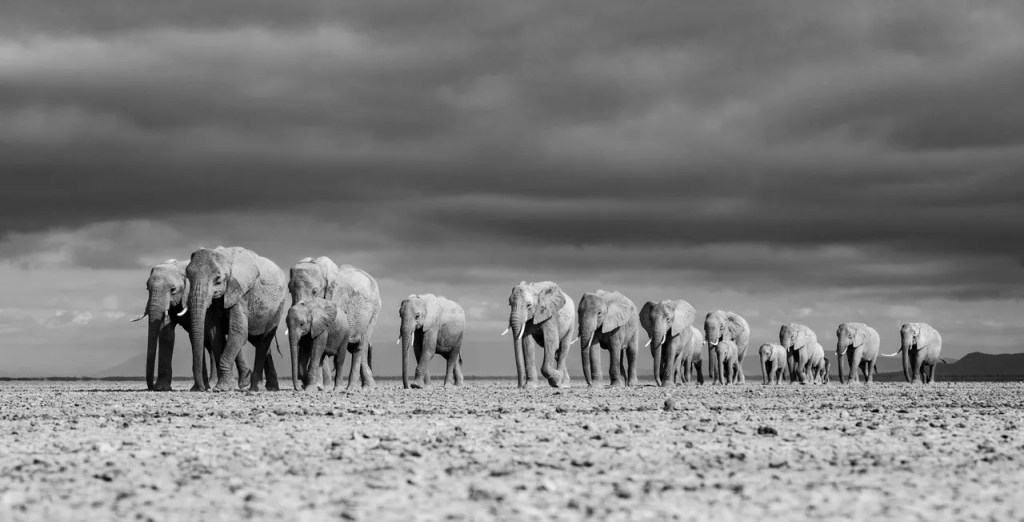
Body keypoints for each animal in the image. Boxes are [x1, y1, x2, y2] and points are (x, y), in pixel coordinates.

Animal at [132, 259, 250, 391]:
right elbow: (166, 335)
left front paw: (198, 388)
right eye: (147, 289)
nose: (151, 387)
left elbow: (198, 334)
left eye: (173, 290)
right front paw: (162, 388)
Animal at [185, 246, 288, 392]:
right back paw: (268, 388)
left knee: (264, 339)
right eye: (188, 276)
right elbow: (215, 335)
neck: (225, 254)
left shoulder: (240, 292)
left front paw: (222, 388)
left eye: (218, 279)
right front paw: (224, 386)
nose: (202, 389)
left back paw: (257, 389)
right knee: (258, 341)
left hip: (279, 306)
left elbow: (238, 331)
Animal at [289, 257, 380, 389]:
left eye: (315, 291)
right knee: (356, 348)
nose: (299, 387)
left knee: (361, 344)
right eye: (289, 290)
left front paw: (320, 387)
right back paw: (369, 386)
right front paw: (316, 386)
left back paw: (358, 388)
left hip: (374, 313)